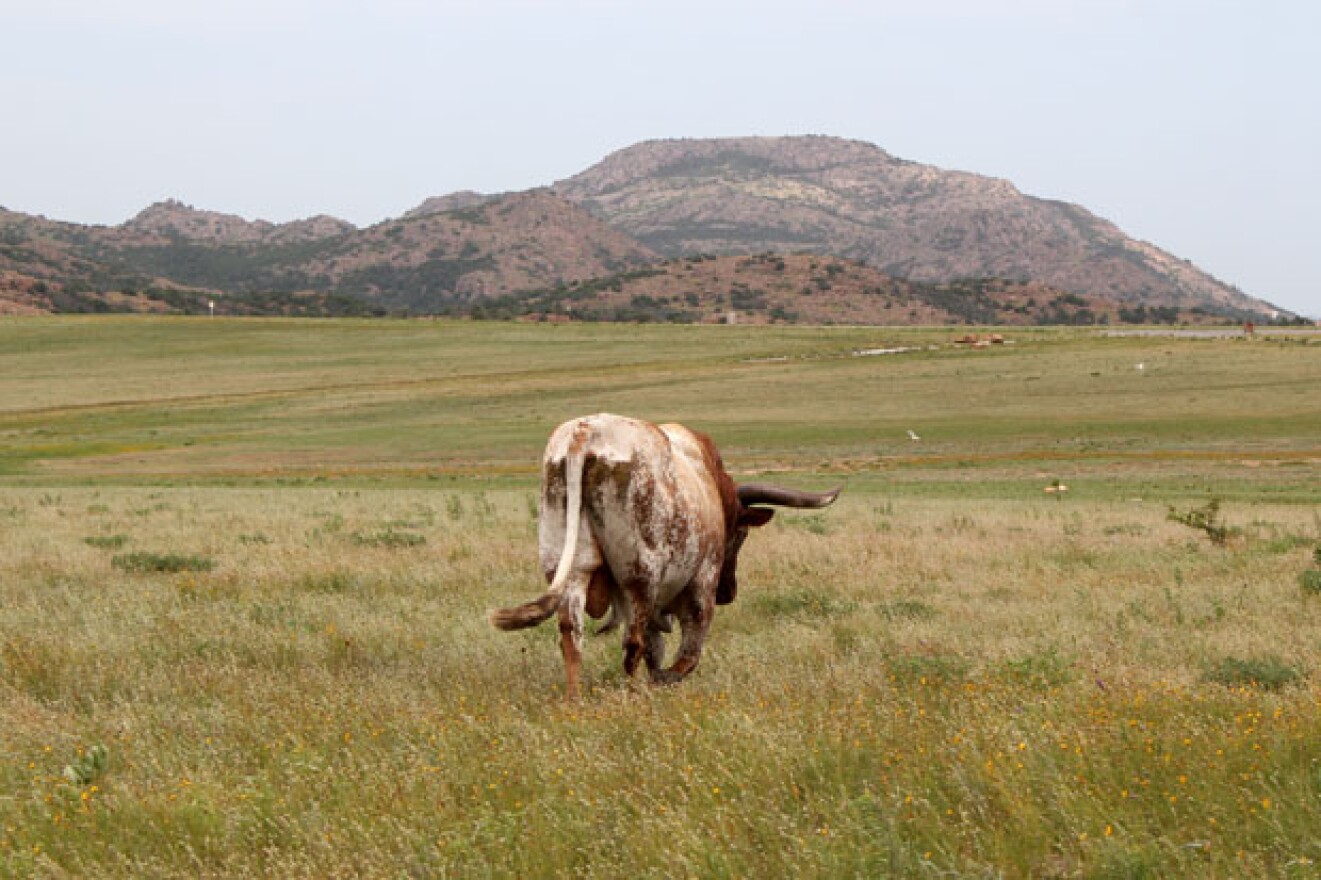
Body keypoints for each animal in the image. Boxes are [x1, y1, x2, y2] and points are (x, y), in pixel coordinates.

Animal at [489, 413, 840, 698]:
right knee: (633, 644)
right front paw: (663, 681)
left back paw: (574, 700)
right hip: (640, 576)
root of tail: (584, 434)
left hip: (569, 569)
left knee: (572, 636)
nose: (729, 592)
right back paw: (633, 696)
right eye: (741, 534)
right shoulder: (701, 585)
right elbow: (687, 655)